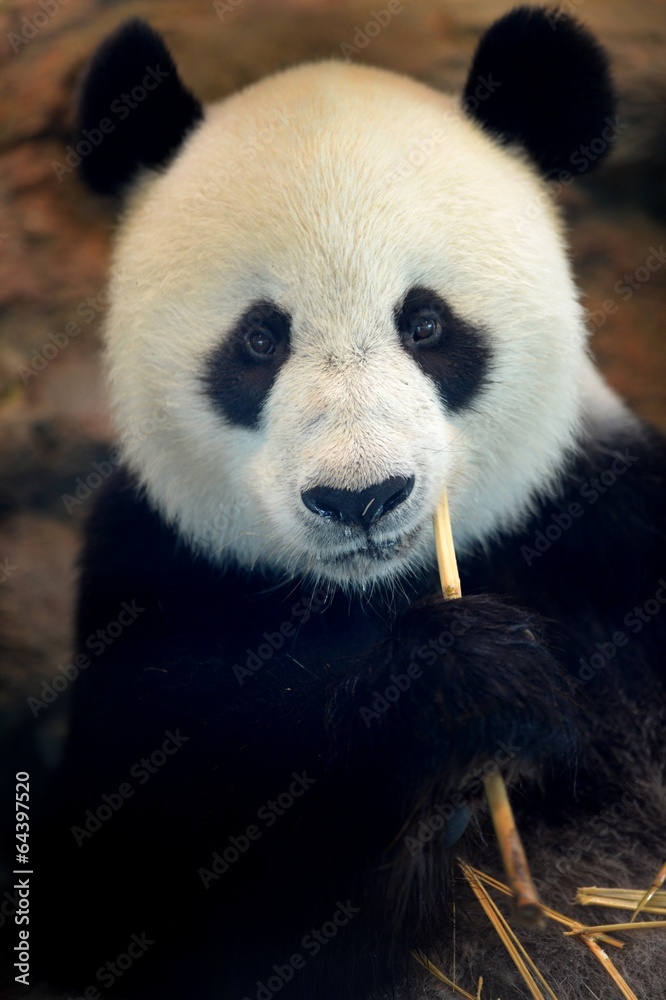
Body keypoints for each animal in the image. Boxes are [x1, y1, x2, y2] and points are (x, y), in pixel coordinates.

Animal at [26, 7, 665, 1000]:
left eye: (426, 323)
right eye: (259, 340)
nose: (361, 497)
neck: (378, 594)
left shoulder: (613, 533)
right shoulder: (152, 584)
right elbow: (119, 884)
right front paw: (459, 687)